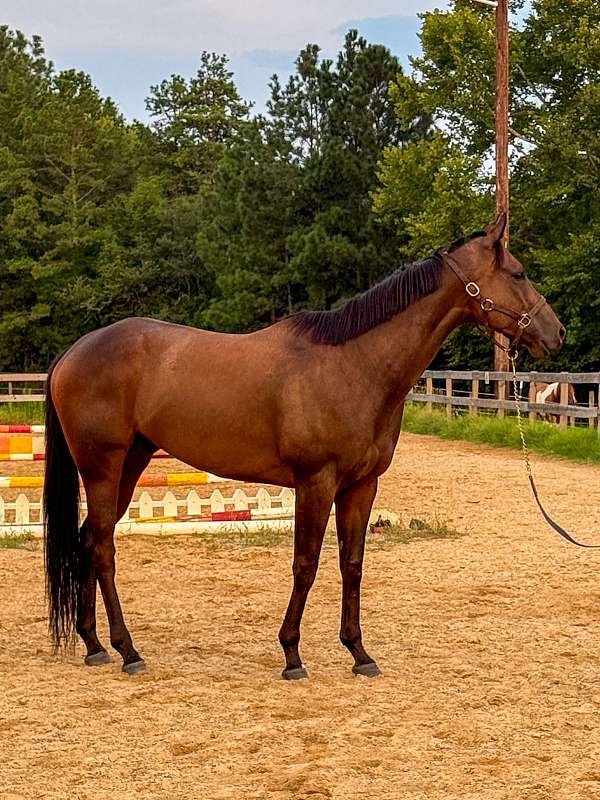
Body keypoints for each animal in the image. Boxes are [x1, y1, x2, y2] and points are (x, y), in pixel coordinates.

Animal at [44, 213, 565, 680]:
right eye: (518, 272)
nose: (555, 331)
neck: (354, 364)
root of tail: (73, 352)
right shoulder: (316, 483)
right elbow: (306, 565)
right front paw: (292, 655)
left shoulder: (361, 486)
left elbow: (352, 564)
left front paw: (359, 653)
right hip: (103, 467)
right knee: (104, 547)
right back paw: (127, 650)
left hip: (130, 463)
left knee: (89, 538)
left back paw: (94, 645)